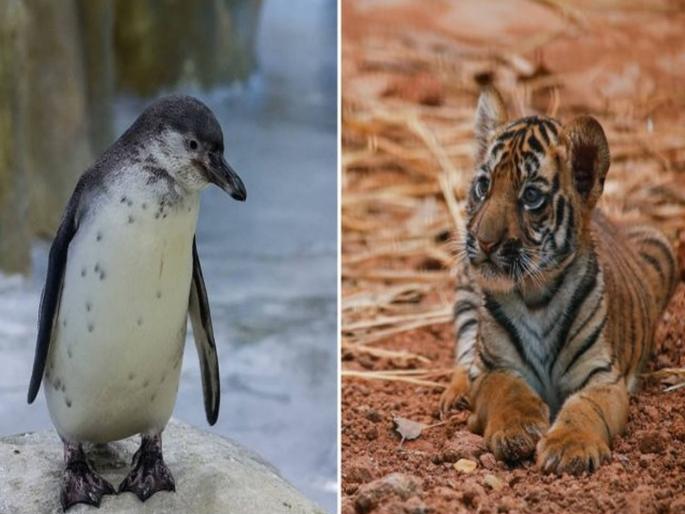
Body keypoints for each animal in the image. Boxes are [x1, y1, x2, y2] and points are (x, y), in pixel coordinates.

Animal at [439, 86, 678, 475]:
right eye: (483, 185)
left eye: (531, 196)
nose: (484, 241)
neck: (535, 295)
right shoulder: (495, 368)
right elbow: (506, 390)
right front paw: (517, 430)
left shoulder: (601, 377)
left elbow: (585, 410)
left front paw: (569, 448)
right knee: (466, 352)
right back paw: (458, 396)